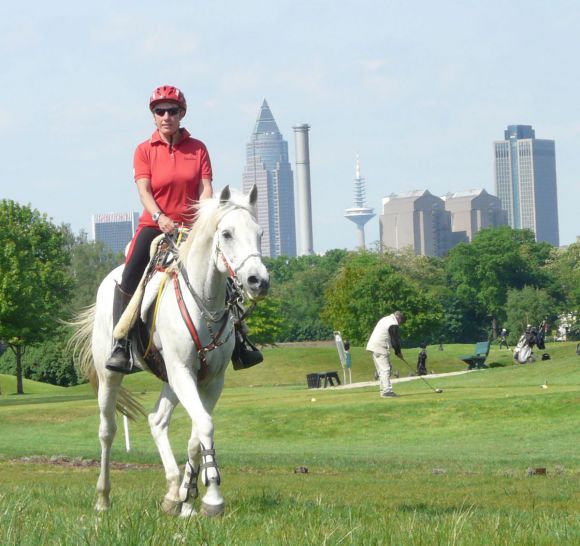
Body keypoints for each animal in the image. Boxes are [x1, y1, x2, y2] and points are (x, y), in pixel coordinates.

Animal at [69, 184, 268, 516]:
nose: (258, 281)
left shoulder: (211, 380)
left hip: (170, 380)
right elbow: (205, 424)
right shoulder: (183, 372)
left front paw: (189, 497)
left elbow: (196, 435)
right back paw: (103, 498)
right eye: (227, 233)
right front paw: (212, 498)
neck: (203, 302)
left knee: (157, 421)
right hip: (113, 376)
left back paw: (174, 491)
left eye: (260, 233)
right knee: (107, 431)